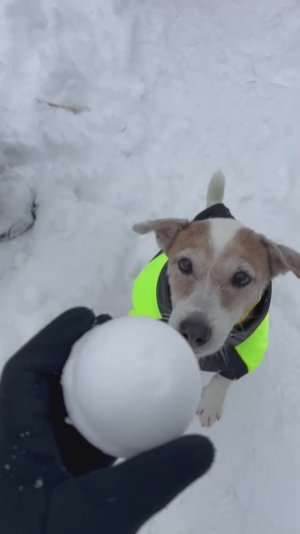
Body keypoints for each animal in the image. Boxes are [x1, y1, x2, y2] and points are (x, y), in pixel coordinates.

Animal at [131, 174, 300, 430]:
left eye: (241, 278)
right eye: (185, 264)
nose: (193, 331)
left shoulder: (247, 354)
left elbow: (225, 377)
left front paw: (210, 403)